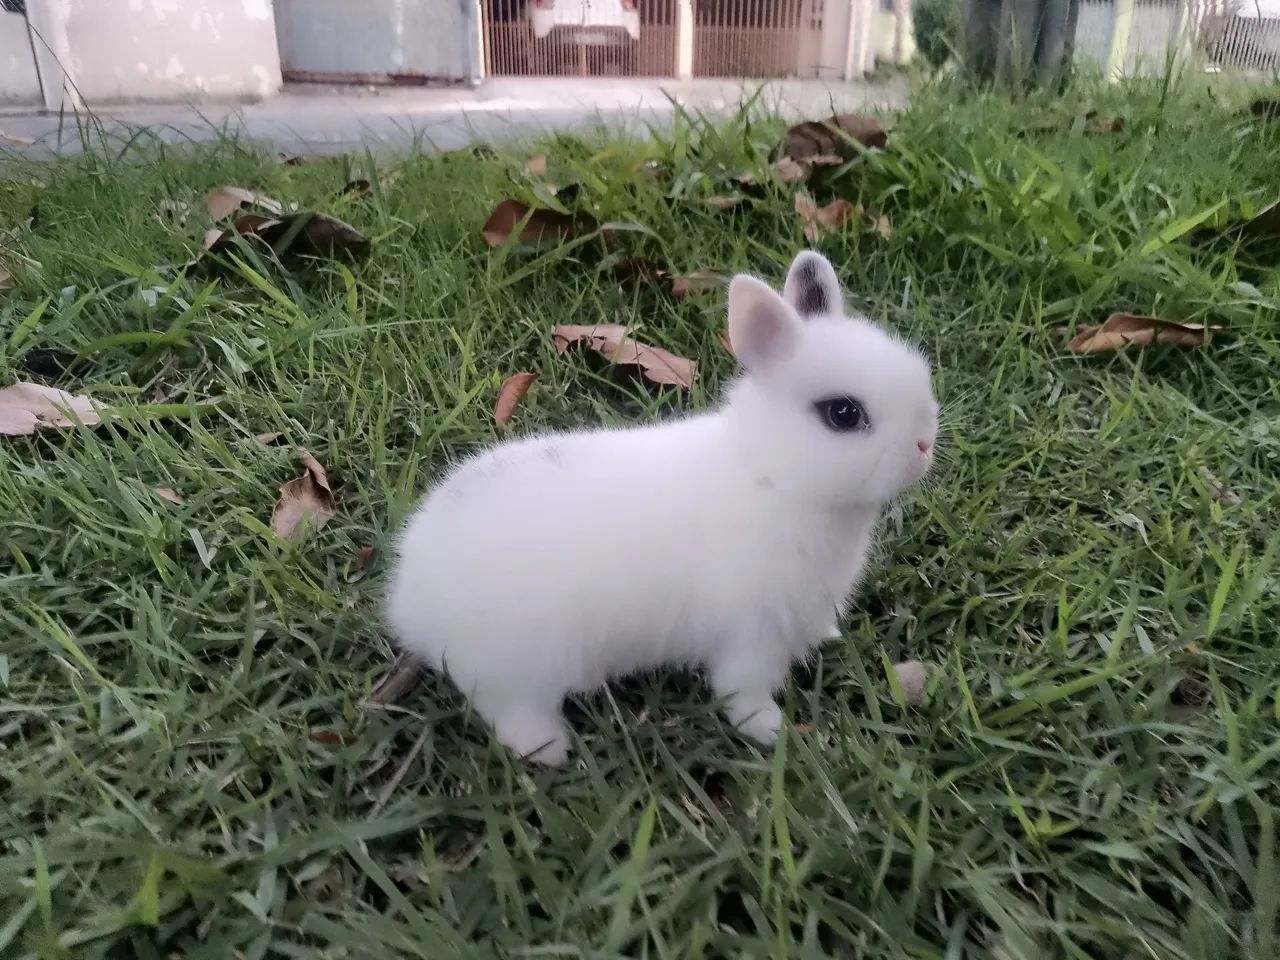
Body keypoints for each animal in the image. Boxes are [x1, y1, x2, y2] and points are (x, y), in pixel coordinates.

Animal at [386, 250, 938, 765]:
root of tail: (411, 600)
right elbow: (743, 691)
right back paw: (548, 749)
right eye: (843, 414)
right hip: (518, 669)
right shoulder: (750, 636)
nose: (924, 445)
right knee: (509, 709)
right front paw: (771, 731)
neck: (772, 475)